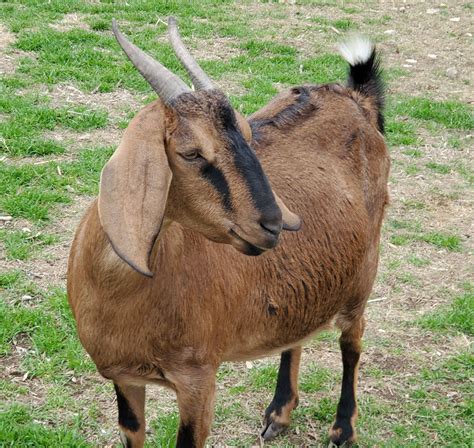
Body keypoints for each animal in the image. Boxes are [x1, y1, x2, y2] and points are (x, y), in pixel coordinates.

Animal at [68, 19, 390, 448]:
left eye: (248, 136)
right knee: (298, 332)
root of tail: (356, 98)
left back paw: (342, 428)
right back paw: (278, 413)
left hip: (363, 272)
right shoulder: (124, 377)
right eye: (191, 153)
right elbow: (133, 432)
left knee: (352, 340)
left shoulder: (198, 379)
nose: (272, 224)